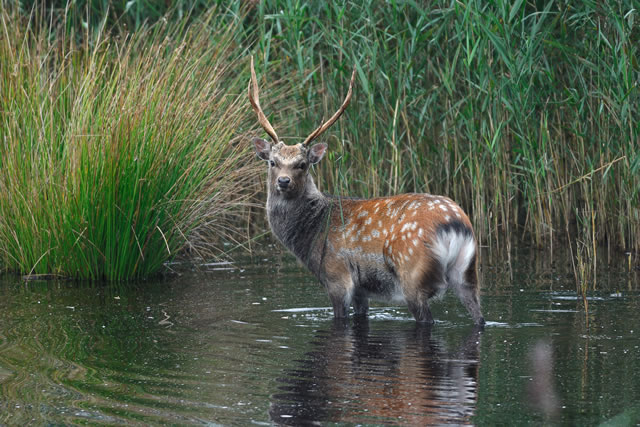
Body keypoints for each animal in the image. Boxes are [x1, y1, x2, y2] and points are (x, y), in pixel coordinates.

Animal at [249, 58, 484, 326]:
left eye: (302, 164)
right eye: (273, 162)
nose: (284, 181)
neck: (311, 234)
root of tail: (455, 224)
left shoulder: (337, 276)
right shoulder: (362, 290)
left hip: (413, 274)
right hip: (468, 272)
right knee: (479, 316)